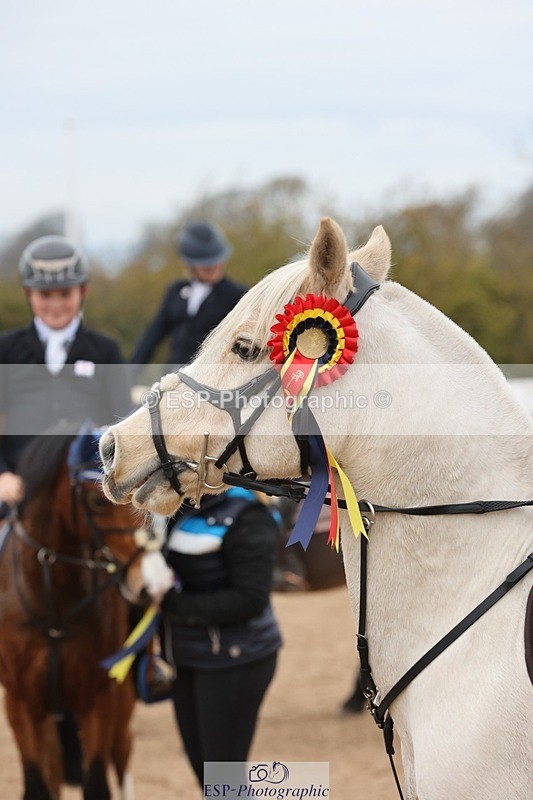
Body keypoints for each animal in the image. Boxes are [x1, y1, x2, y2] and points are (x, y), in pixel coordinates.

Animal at [0, 426, 159, 800]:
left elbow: (97, 783)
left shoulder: (98, 701)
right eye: (98, 501)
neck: (54, 609)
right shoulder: (22, 706)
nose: (148, 585)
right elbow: (39, 786)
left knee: (122, 755)